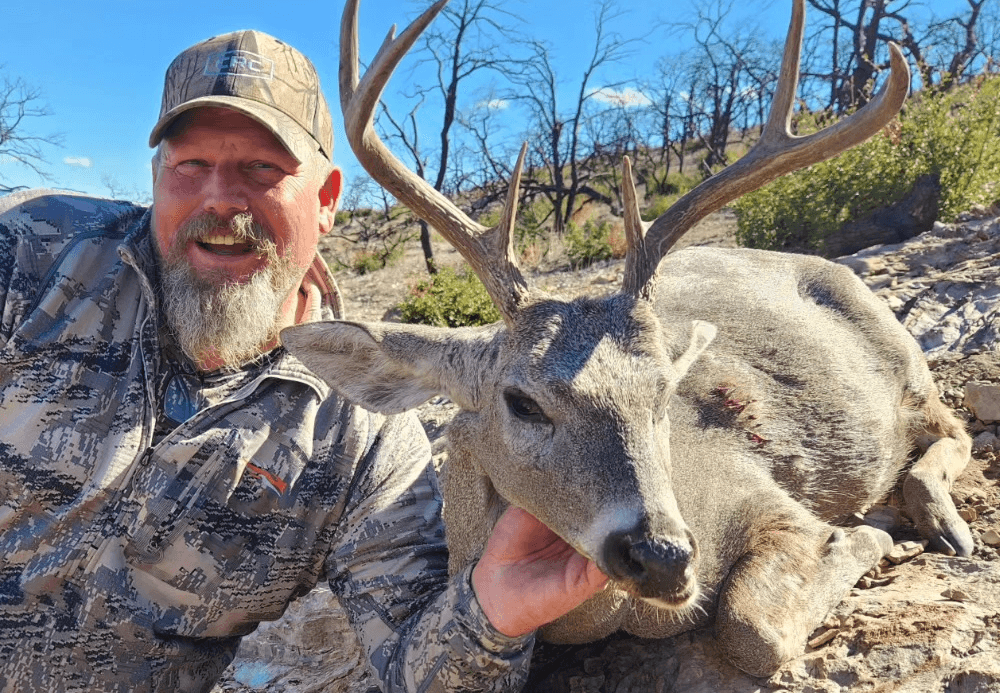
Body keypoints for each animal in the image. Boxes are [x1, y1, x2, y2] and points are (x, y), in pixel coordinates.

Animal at [281, 0, 975, 677]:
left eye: (665, 394)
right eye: (522, 402)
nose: (662, 555)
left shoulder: (768, 500)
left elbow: (750, 628)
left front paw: (867, 534)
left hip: (904, 360)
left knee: (951, 427)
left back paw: (944, 524)